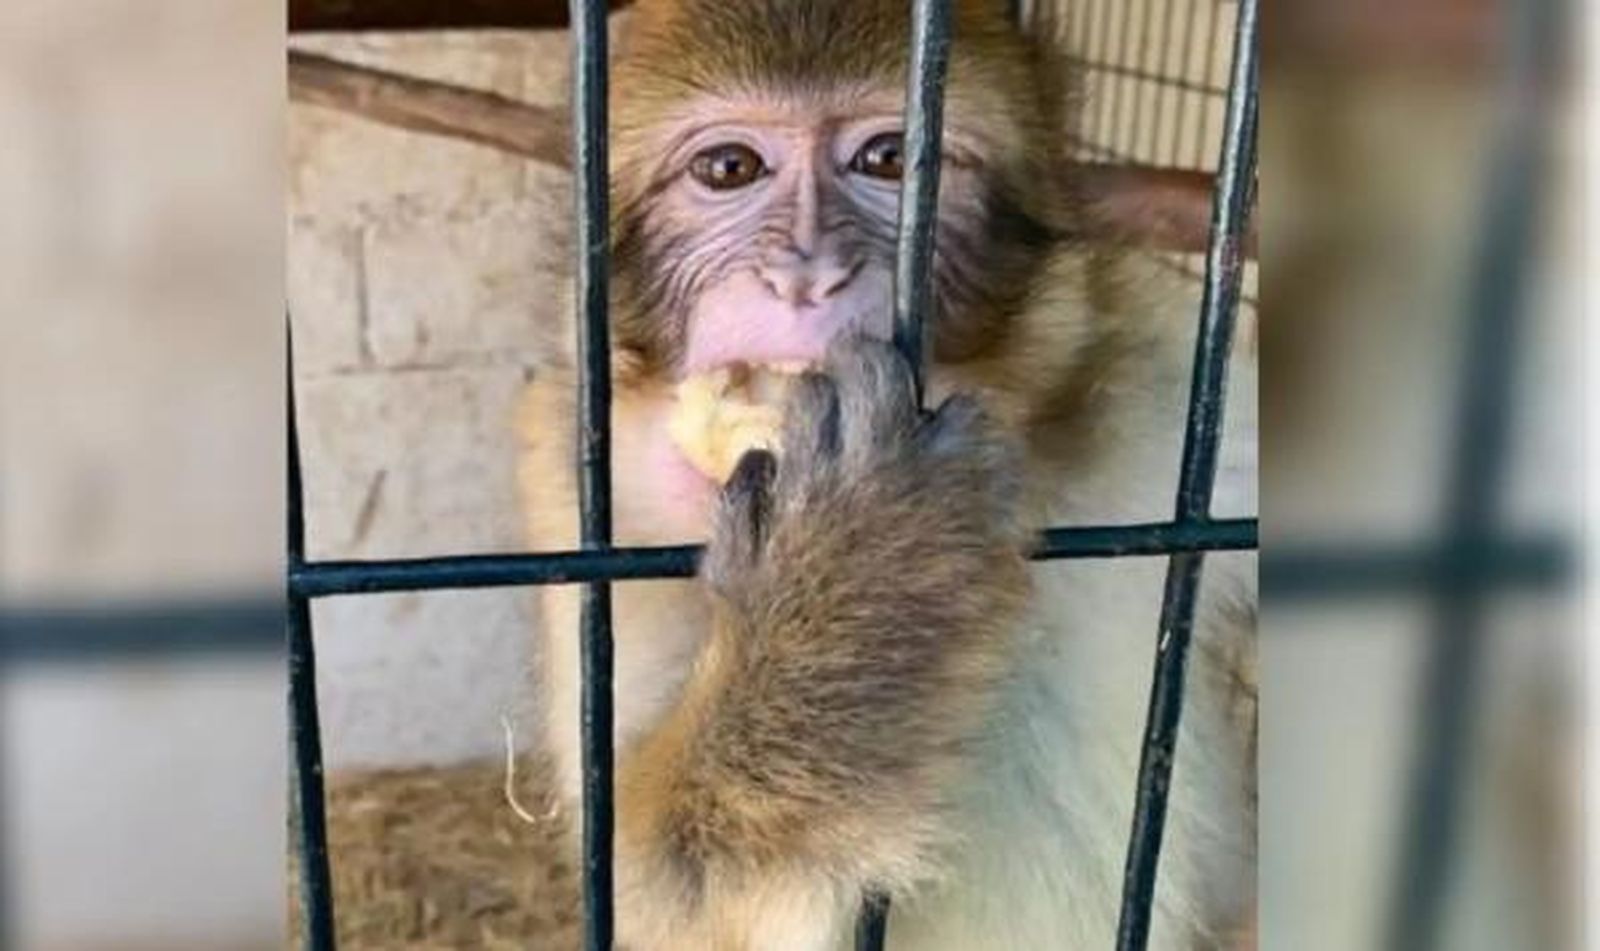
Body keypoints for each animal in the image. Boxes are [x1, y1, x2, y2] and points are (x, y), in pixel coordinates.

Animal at [516, 1, 1257, 948]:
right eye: (729, 168)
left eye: (890, 160)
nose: (808, 275)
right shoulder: (571, 492)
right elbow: (654, 891)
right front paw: (863, 562)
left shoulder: (1158, 380)